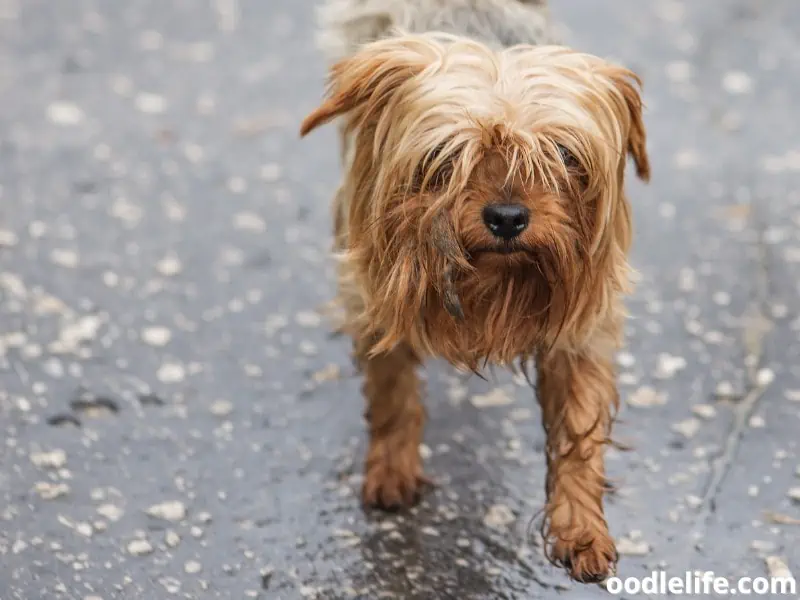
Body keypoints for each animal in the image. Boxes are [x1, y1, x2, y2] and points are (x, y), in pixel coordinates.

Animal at [300, 0, 648, 584]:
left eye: (563, 155)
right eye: (446, 158)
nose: (507, 216)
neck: (493, 281)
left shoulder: (583, 325)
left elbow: (579, 426)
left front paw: (581, 528)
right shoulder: (374, 295)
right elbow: (392, 391)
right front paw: (392, 470)